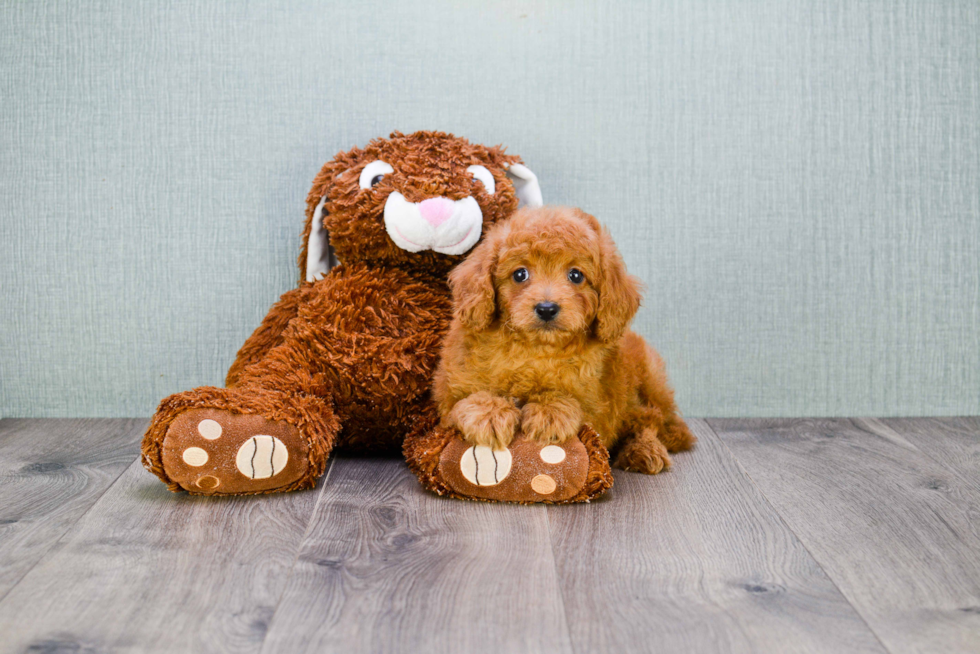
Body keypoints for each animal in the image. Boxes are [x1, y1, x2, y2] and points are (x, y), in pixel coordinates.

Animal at [432, 206, 692, 476]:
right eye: (520, 274)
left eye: (576, 275)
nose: (547, 308)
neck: (535, 350)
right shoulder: (449, 391)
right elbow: (463, 401)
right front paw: (489, 413)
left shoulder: (598, 404)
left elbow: (573, 403)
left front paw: (549, 412)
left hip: (644, 382)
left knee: (650, 420)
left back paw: (645, 450)